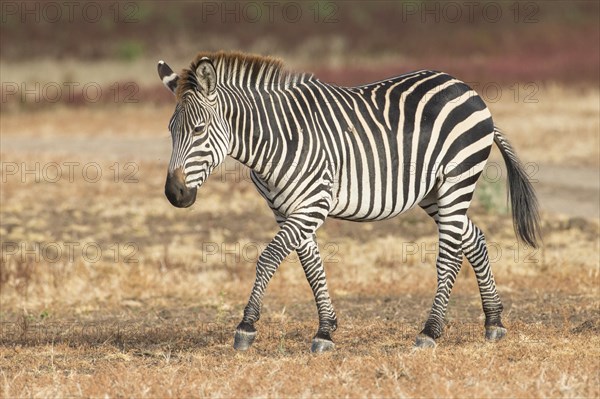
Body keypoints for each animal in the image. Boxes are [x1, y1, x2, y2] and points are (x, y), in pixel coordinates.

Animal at [157, 50, 540, 354]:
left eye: (199, 130)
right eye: (170, 130)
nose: (175, 195)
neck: (276, 140)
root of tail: (466, 87)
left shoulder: (313, 204)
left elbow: (268, 259)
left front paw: (246, 327)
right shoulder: (287, 211)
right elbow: (312, 268)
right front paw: (325, 331)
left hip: (455, 181)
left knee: (449, 256)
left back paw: (430, 332)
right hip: (433, 192)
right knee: (473, 239)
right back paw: (494, 321)